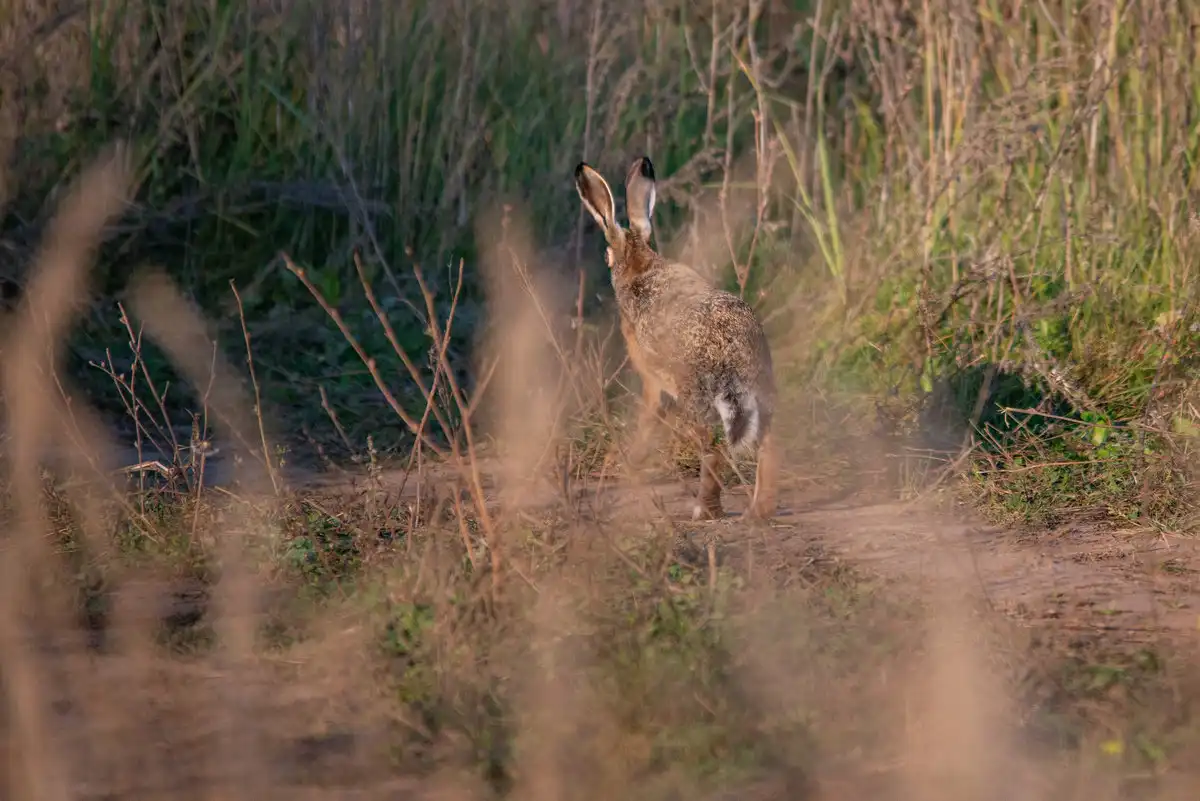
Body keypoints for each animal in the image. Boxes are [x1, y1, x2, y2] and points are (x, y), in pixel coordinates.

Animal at [574, 155, 779, 520]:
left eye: (606, 255)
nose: (606, 262)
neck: (642, 265)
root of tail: (730, 352)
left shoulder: (652, 381)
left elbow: (648, 416)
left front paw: (629, 463)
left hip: (694, 394)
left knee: (712, 448)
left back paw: (704, 511)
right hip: (760, 387)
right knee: (769, 443)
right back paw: (759, 511)